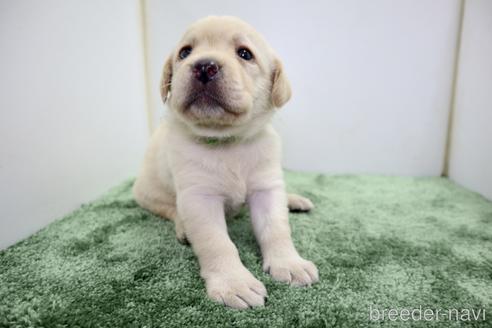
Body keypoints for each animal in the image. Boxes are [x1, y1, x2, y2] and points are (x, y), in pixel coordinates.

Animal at [134, 14, 320, 308]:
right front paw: (234, 282)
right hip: (148, 192)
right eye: (185, 52)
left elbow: (277, 228)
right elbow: (217, 243)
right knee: (170, 208)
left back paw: (294, 200)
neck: (227, 142)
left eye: (245, 54)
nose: (204, 66)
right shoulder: (199, 198)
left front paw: (290, 263)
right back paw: (183, 228)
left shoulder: (267, 188)